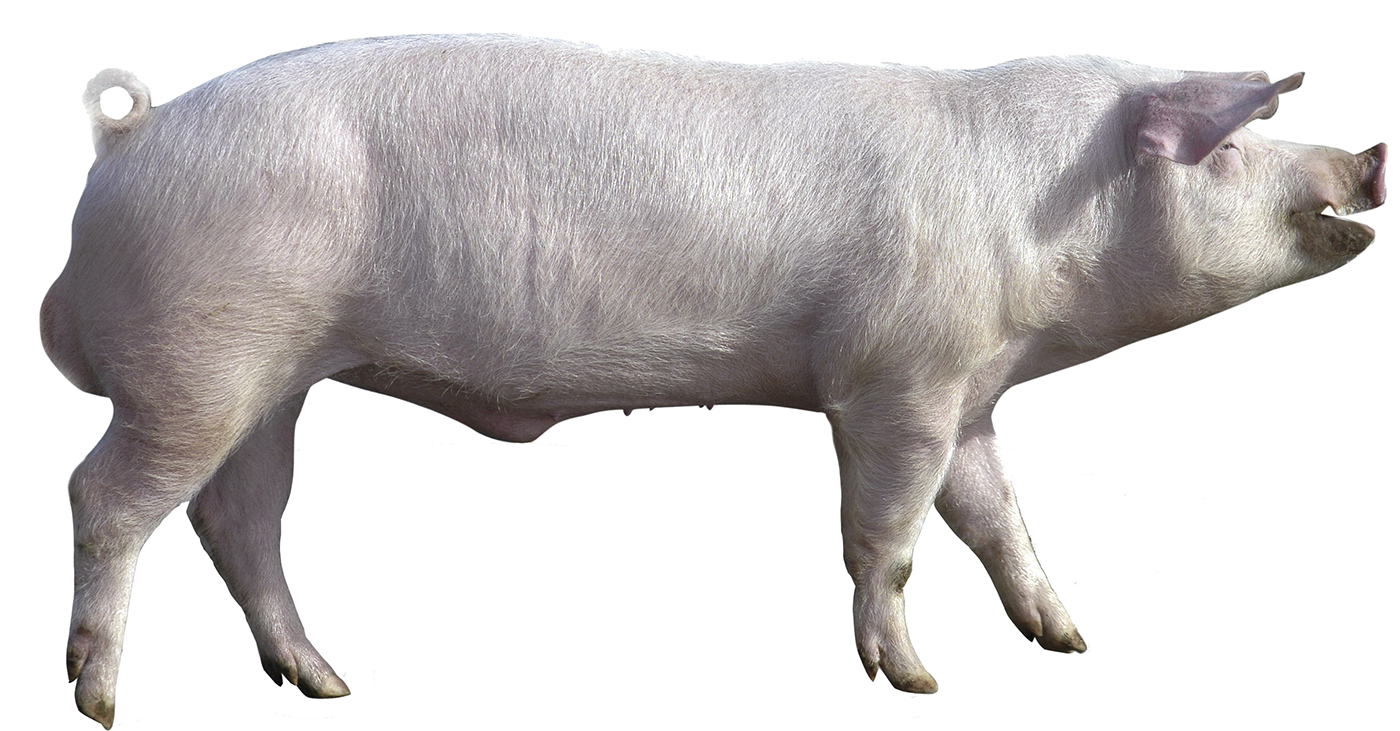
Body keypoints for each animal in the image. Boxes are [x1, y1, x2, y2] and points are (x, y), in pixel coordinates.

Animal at [41, 34, 1385, 728]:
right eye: (1229, 150)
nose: (1368, 153)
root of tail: (127, 135)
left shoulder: (968, 390)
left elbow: (996, 519)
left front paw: (1068, 641)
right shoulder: (892, 376)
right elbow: (889, 538)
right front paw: (914, 680)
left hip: (271, 375)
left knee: (240, 515)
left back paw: (326, 681)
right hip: (197, 357)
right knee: (105, 498)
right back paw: (101, 699)